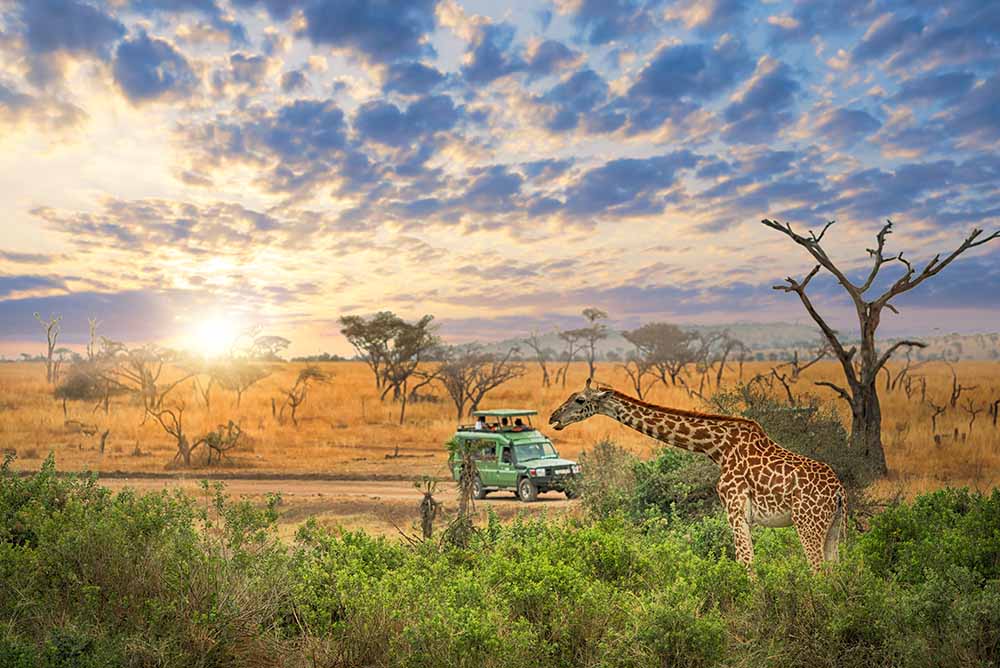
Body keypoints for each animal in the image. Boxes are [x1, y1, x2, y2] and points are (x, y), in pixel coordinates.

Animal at [552, 378, 848, 572]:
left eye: (579, 400)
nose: (554, 417)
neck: (718, 448)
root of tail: (839, 492)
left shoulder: (735, 509)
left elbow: (745, 563)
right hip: (834, 526)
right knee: (834, 570)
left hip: (807, 523)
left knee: (817, 570)